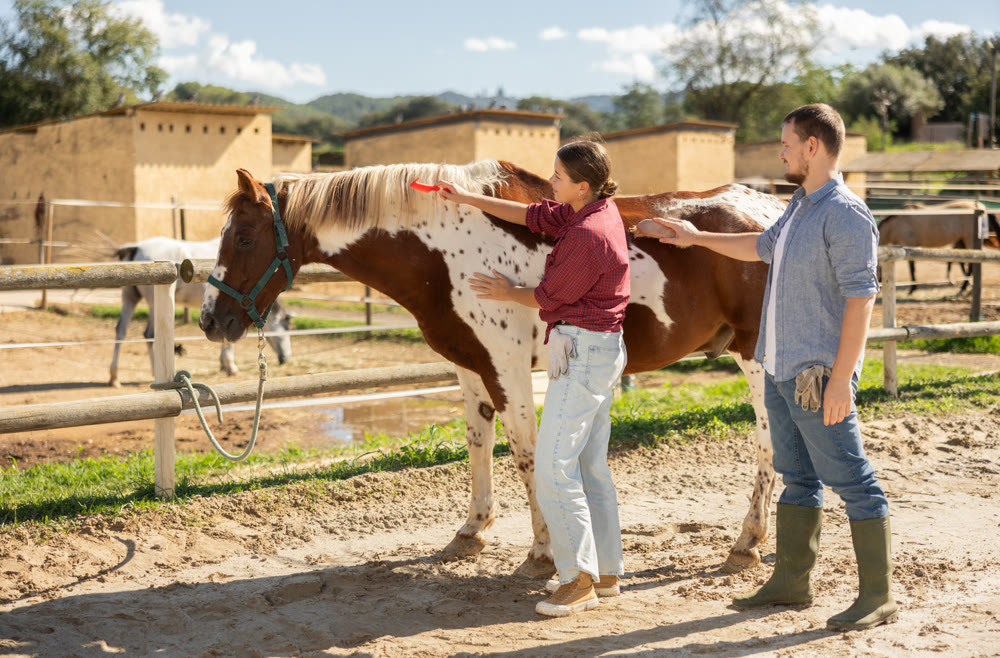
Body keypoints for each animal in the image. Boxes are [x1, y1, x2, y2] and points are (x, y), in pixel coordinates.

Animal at [108, 237, 293, 387]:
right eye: (287, 328)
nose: (286, 359)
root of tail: (136, 247)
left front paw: (223, 365)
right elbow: (229, 341)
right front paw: (231, 367)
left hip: (129, 298)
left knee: (120, 331)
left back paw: (115, 377)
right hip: (153, 304)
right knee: (149, 334)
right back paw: (153, 372)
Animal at [198, 161, 786, 577]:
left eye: (244, 238)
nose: (210, 320)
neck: (445, 247)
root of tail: (773, 214)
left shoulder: (508, 367)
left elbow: (526, 455)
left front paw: (542, 552)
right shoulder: (470, 367)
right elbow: (478, 445)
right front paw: (471, 532)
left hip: (757, 359)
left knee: (767, 443)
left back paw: (747, 545)